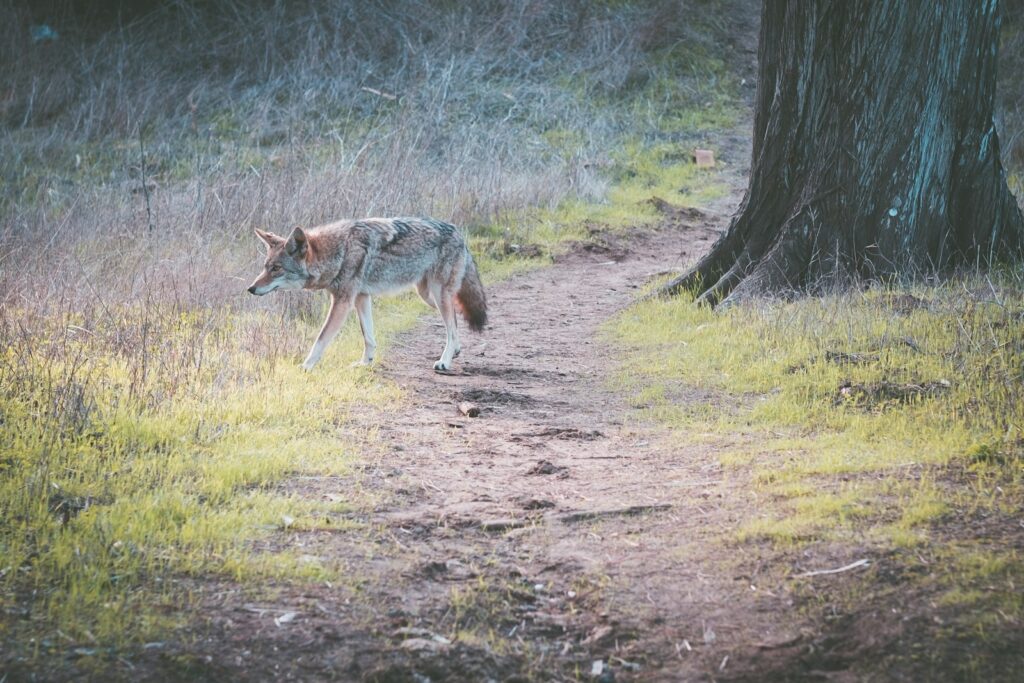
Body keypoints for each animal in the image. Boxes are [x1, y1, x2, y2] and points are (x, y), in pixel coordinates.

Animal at [247, 217, 487, 372]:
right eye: (265, 267)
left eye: (276, 269)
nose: (250, 289)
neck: (338, 252)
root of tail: (459, 233)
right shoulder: (362, 297)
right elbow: (368, 337)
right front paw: (365, 363)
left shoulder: (343, 301)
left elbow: (320, 339)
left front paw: (305, 367)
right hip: (429, 295)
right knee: (454, 320)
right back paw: (455, 352)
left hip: (438, 294)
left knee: (452, 328)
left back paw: (445, 361)